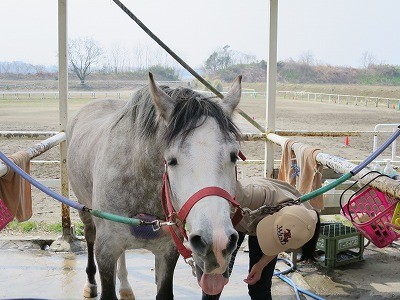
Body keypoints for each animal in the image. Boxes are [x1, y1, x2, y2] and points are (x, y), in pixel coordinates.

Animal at [67, 73, 242, 300]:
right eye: (172, 160)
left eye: (233, 155)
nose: (217, 242)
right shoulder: (106, 250)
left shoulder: (167, 251)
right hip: (85, 211)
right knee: (89, 236)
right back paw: (90, 283)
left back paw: (125, 287)